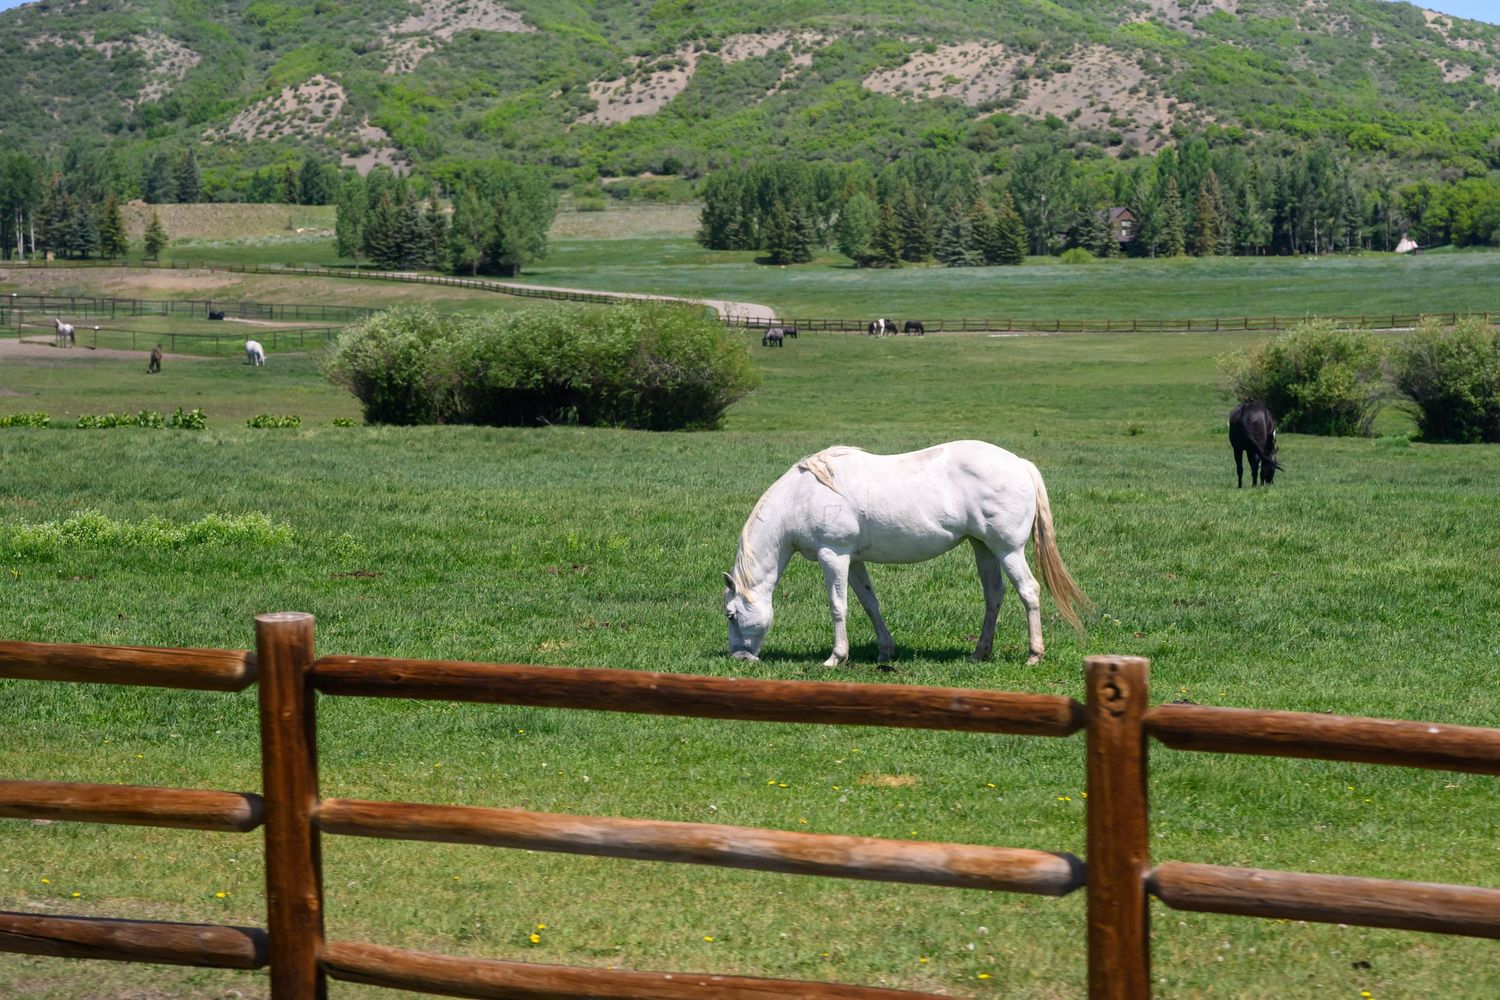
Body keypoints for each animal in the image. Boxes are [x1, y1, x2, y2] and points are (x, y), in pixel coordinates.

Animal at [723, 441, 1089, 667]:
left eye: (731, 614)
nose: (739, 659)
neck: (802, 495)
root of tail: (1021, 464)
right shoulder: (855, 560)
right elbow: (869, 603)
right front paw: (885, 651)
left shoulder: (834, 555)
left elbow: (838, 606)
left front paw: (836, 657)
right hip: (983, 547)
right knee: (994, 595)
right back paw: (979, 653)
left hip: (1008, 550)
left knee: (1029, 591)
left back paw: (1034, 654)